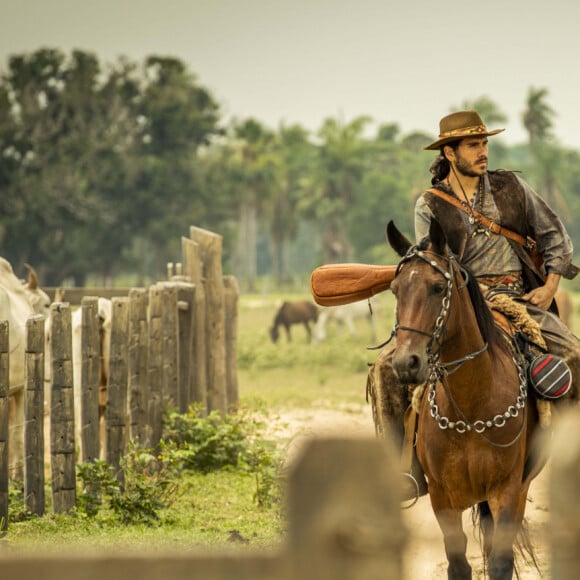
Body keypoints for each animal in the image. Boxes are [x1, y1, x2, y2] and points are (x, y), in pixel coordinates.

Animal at [386, 219, 544, 580]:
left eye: (437, 288)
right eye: (395, 289)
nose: (406, 363)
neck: (472, 406)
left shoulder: (507, 491)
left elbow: (500, 563)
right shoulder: (442, 497)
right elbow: (458, 564)